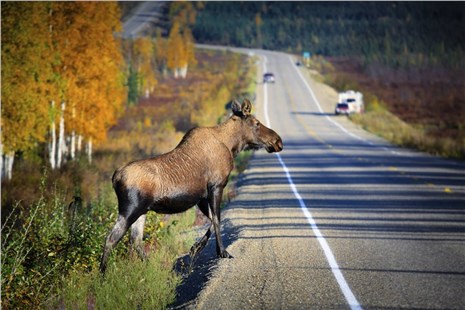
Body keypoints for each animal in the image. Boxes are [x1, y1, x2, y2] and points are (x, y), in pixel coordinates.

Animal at [99, 98, 280, 274]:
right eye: (256, 123)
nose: (278, 141)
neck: (231, 145)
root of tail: (115, 177)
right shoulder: (216, 186)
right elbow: (217, 219)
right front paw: (222, 252)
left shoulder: (201, 196)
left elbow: (211, 220)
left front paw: (196, 248)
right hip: (130, 210)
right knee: (111, 239)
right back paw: (102, 277)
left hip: (142, 211)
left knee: (135, 241)